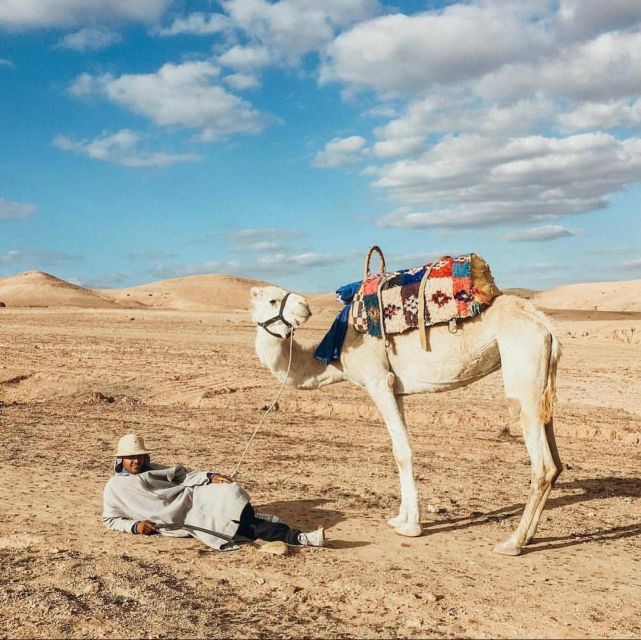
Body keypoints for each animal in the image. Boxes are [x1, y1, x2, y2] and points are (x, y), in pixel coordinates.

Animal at [251, 285, 562, 556]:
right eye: (272, 299)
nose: (304, 305)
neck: (336, 354)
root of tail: (546, 327)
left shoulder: (378, 381)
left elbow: (402, 452)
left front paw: (411, 526)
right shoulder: (395, 388)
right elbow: (398, 450)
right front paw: (400, 517)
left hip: (523, 372)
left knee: (543, 466)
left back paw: (512, 543)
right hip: (541, 385)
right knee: (555, 463)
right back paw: (529, 536)